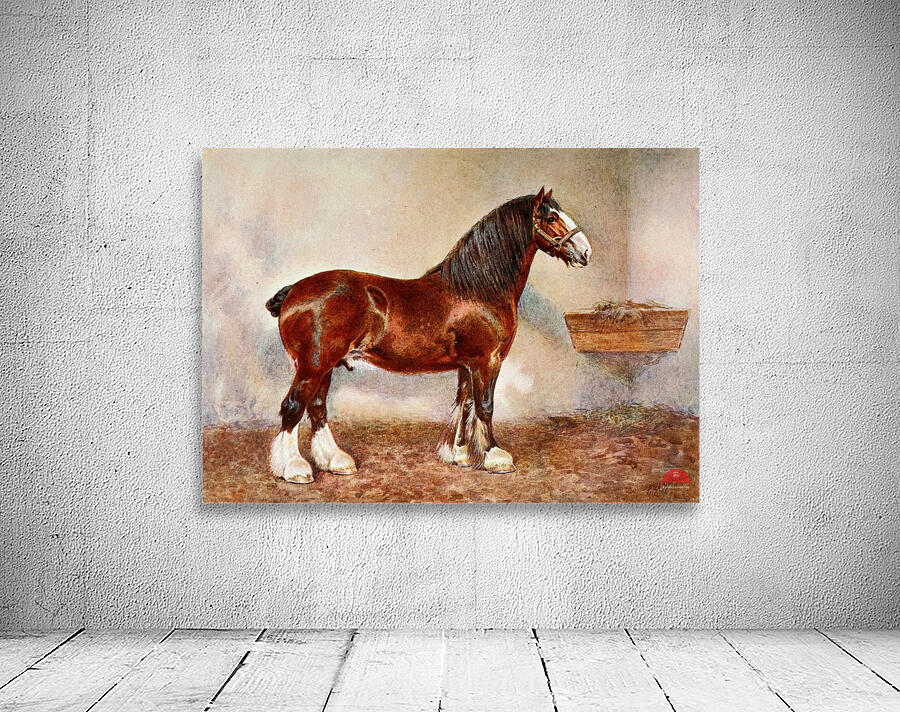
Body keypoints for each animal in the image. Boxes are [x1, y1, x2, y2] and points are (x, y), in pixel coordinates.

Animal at [265, 187, 592, 484]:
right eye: (551, 217)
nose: (586, 251)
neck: (477, 290)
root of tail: (294, 291)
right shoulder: (487, 361)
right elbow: (485, 407)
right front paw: (495, 457)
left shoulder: (467, 365)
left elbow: (465, 404)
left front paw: (459, 454)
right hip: (314, 366)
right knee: (293, 407)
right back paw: (295, 469)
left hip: (326, 366)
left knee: (317, 409)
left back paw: (336, 461)